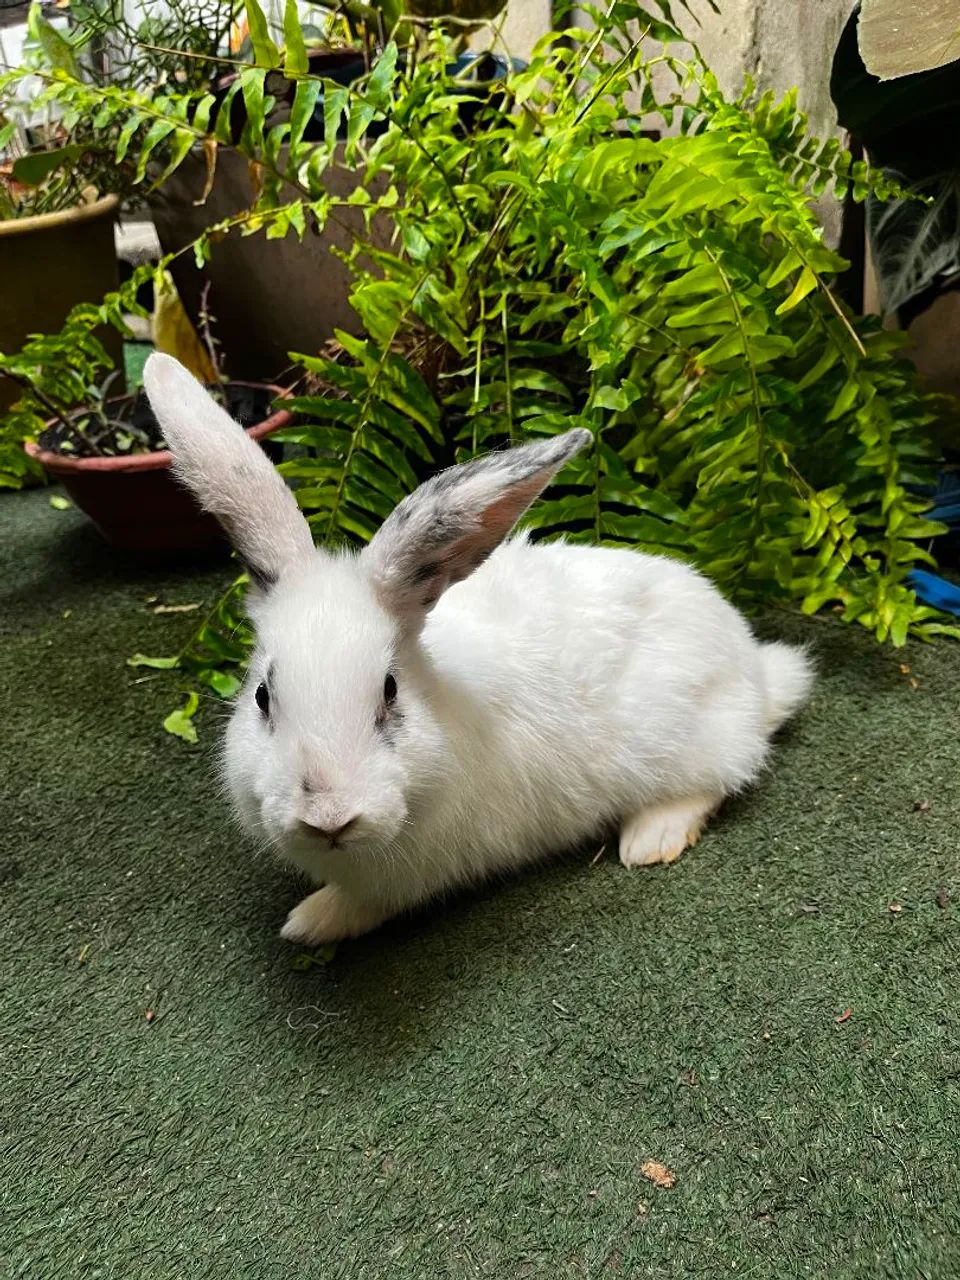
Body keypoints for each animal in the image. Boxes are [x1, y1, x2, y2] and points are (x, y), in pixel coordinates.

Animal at [144, 353, 813, 946]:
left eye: (390, 690)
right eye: (262, 695)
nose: (329, 817)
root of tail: (756, 670)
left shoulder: (415, 875)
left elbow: (365, 905)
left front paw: (310, 922)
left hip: (691, 743)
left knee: (722, 777)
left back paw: (650, 839)